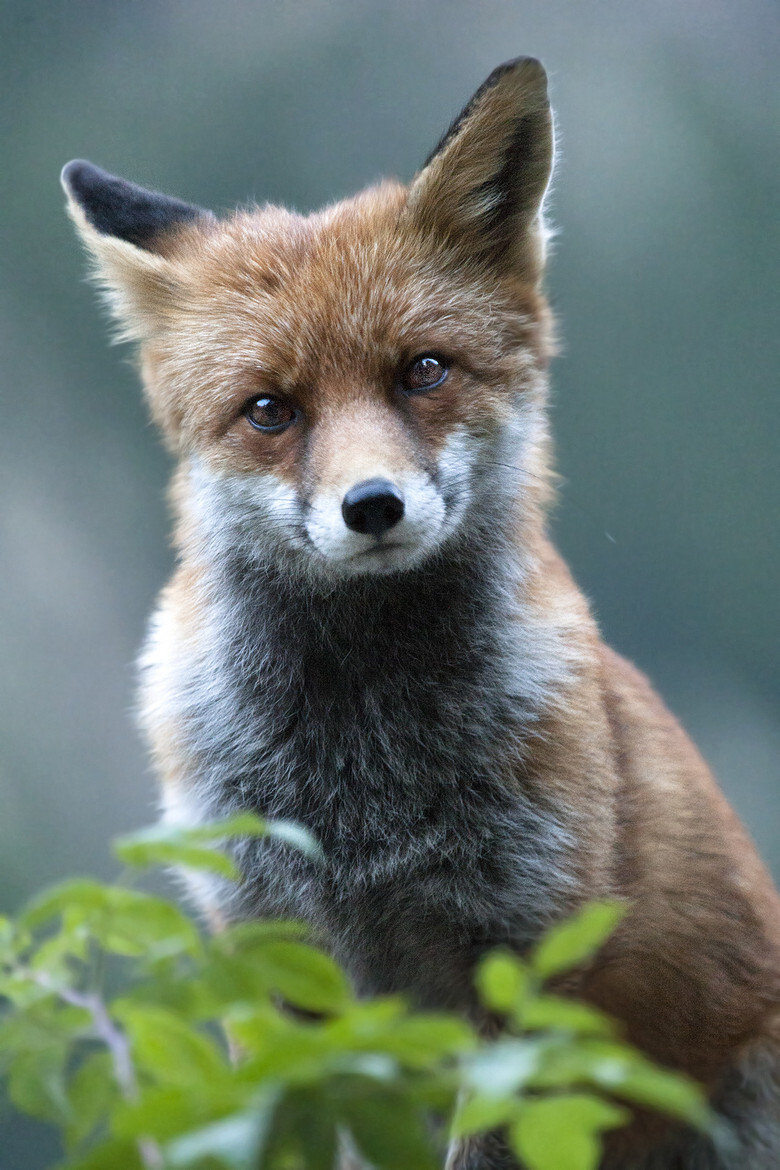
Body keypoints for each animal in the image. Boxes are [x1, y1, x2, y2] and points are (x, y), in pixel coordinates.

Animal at [62, 57, 780, 1170]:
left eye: (424, 370)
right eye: (270, 410)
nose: (373, 507)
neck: (362, 777)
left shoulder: (523, 964)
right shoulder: (266, 952)